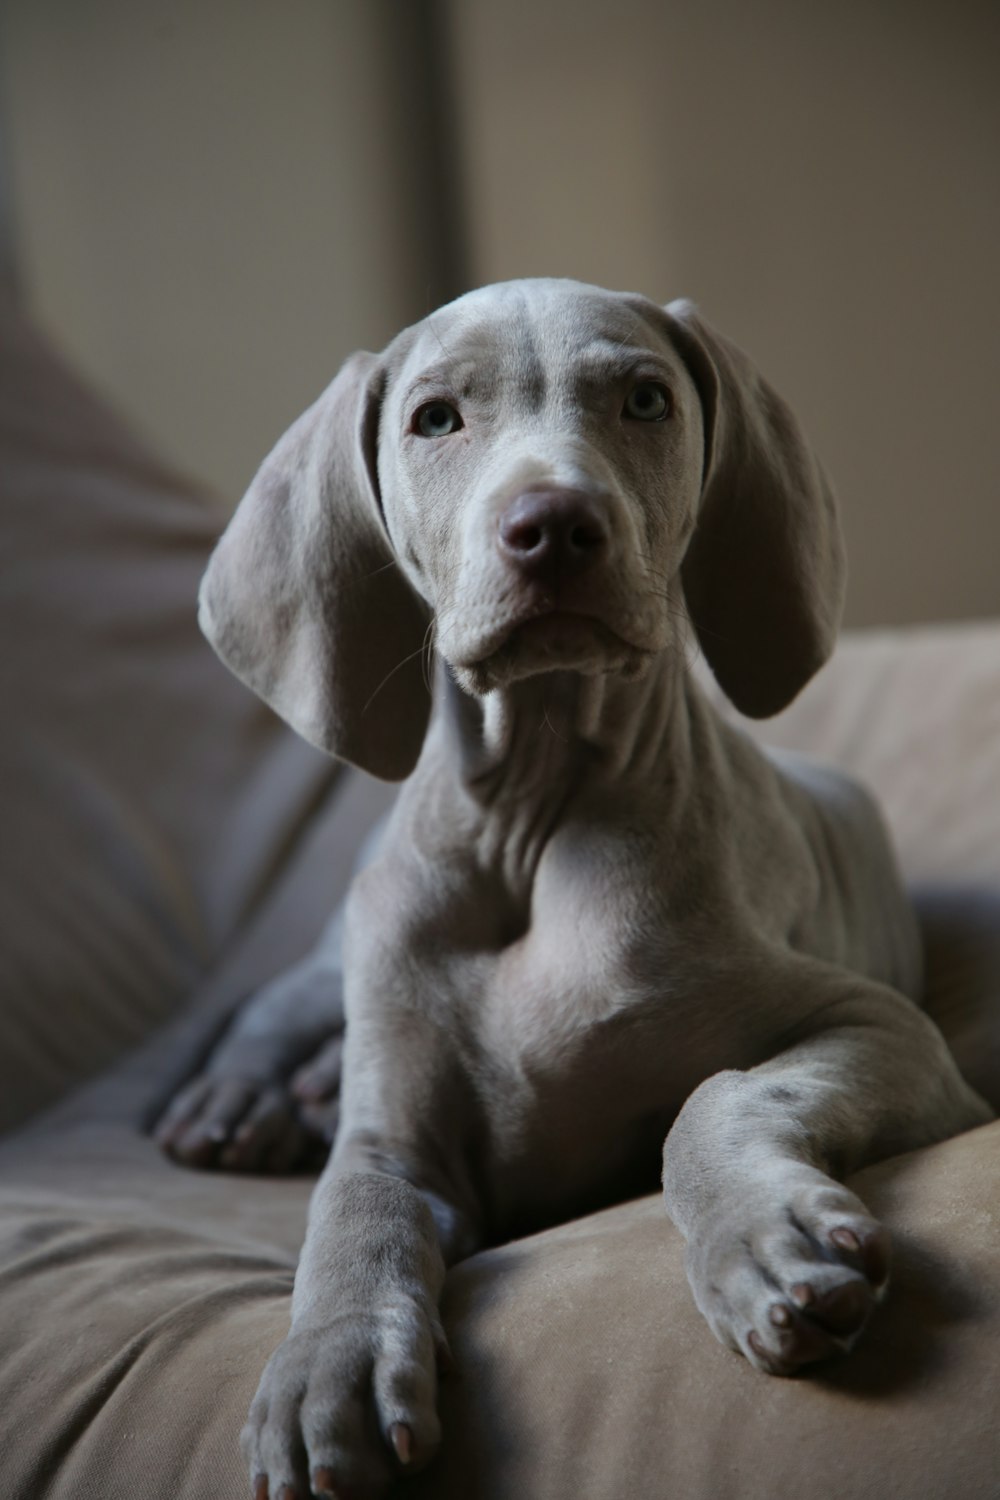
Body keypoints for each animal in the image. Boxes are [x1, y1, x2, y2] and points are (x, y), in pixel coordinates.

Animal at [156, 282, 995, 1500]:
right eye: (436, 418)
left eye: (645, 400)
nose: (551, 526)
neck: (536, 816)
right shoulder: (393, 1138)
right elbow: (351, 1210)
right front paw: (327, 1364)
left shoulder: (885, 1028)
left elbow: (720, 1092)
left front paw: (763, 1241)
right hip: (349, 940)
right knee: (288, 995)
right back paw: (250, 1095)